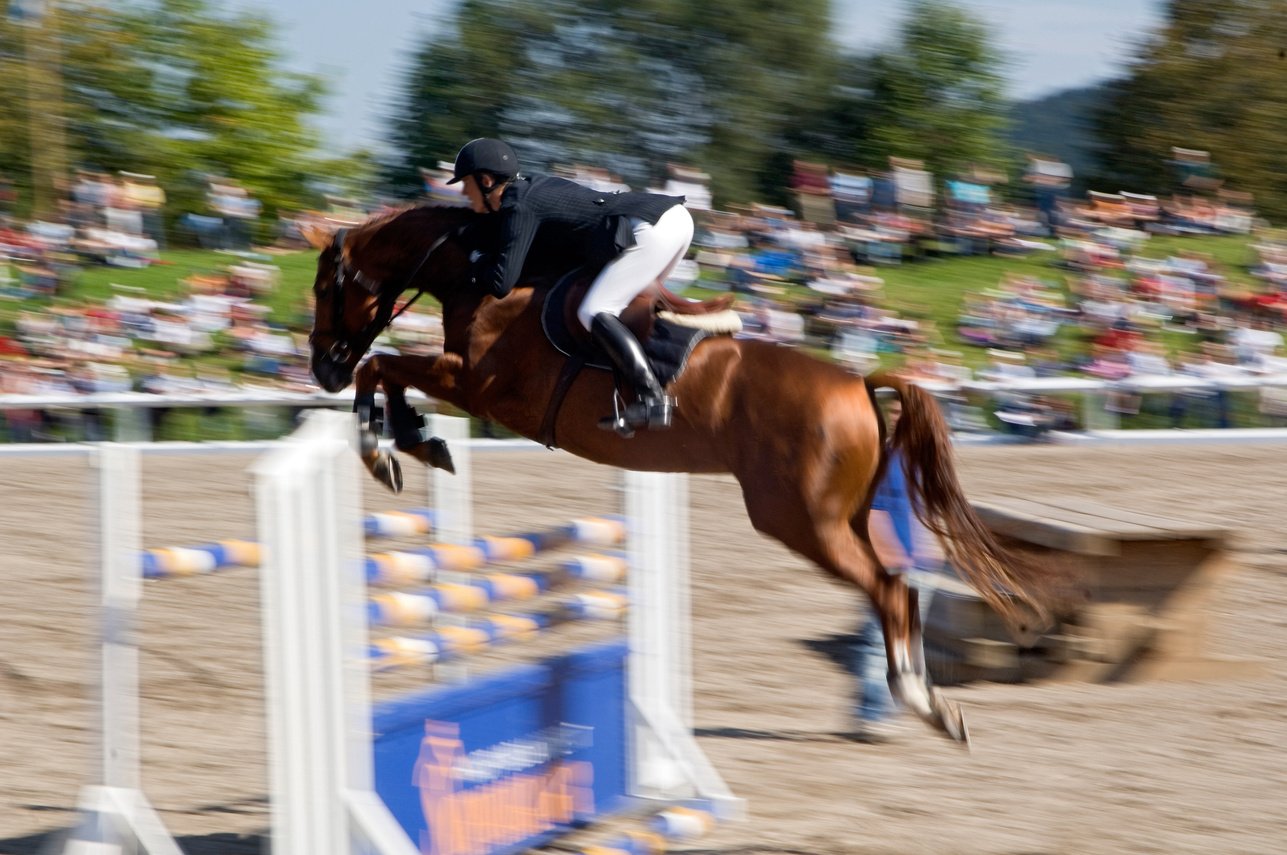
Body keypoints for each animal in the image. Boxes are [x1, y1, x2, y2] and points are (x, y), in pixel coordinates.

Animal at [306, 203, 1050, 746]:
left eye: (323, 287)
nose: (320, 369)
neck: (480, 270)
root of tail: (857, 384)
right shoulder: (466, 382)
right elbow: (389, 371)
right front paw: (416, 439)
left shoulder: (478, 385)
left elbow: (386, 364)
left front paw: (389, 446)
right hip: (841, 516)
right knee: (898, 587)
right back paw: (927, 702)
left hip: (800, 520)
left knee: (889, 587)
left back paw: (921, 702)